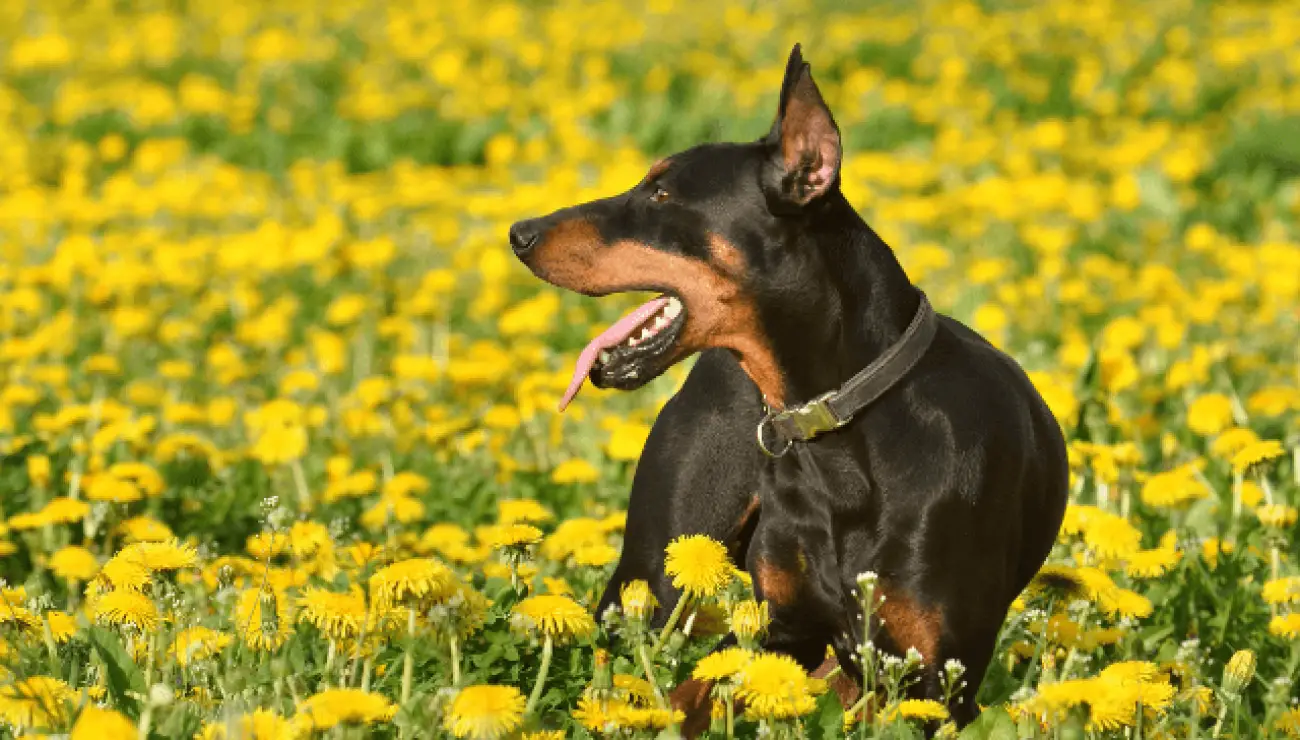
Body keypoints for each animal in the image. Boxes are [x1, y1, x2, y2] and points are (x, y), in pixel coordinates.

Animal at [506, 44, 1066, 728]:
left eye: (661, 193)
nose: (519, 233)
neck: (839, 429)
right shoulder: (784, 628)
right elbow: (695, 690)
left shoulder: (935, 677)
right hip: (656, 569)